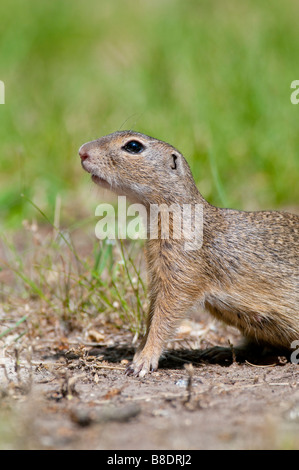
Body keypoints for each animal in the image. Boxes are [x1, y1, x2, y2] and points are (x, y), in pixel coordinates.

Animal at [79, 130, 299, 376]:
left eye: (133, 146)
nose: (82, 151)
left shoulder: (182, 273)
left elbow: (164, 317)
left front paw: (144, 360)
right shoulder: (158, 274)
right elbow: (151, 315)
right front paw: (138, 353)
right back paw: (220, 351)